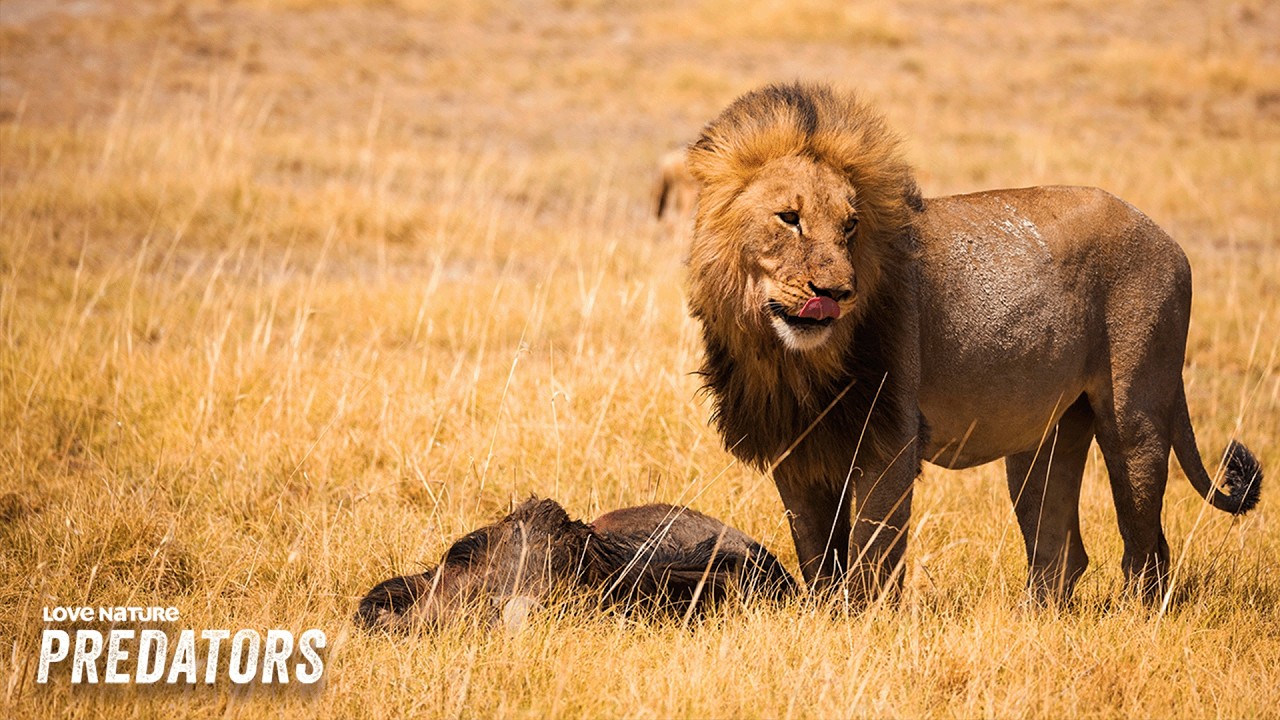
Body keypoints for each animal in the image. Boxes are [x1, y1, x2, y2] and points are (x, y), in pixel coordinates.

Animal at [685, 83, 1263, 604]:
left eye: (850, 226)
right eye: (789, 218)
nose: (836, 293)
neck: (788, 359)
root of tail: (1168, 238)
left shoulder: (889, 437)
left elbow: (872, 552)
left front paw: (865, 624)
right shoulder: (794, 447)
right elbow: (816, 553)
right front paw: (827, 617)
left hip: (1134, 414)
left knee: (1147, 546)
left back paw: (1136, 620)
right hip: (1046, 436)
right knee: (1061, 552)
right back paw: (1032, 624)